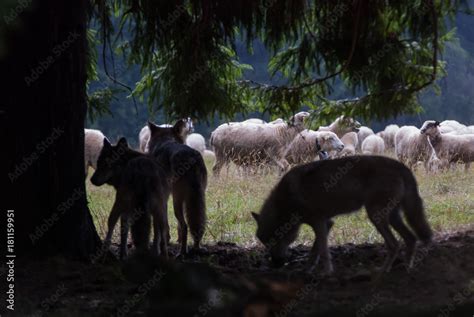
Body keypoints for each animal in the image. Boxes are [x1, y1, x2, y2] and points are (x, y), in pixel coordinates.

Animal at [148, 118, 207, 254]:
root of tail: (192, 157)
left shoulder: (159, 198)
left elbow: (158, 227)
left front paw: (157, 247)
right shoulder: (164, 199)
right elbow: (165, 224)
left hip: (177, 200)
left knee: (185, 226)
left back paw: (182, 253)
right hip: (196, 199)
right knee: (195, 223)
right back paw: (196, 247)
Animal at [254, 154, 432, 272]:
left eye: (274, 241)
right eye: (265, 243)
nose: (275, 264)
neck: (285, 201)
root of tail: (400, 165)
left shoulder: (319, 223)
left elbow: (323, 251)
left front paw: (326, 273)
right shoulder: (327, 223)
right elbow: (315, 251)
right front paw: (308, 269)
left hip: (376, 217)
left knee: (395, 245)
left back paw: (382, 270)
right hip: (392, 218)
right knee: (411, 239)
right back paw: (407, 269)